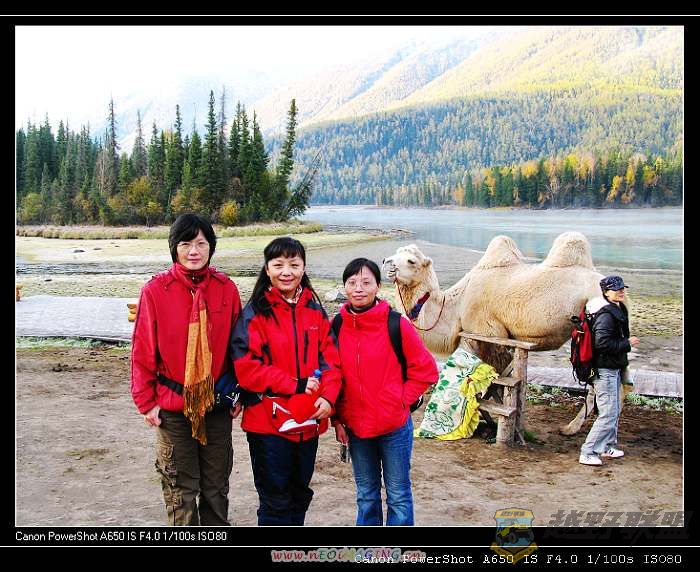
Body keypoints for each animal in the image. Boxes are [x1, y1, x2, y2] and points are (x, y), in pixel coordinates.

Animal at [382, 232, 633, 436]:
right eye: (395, 253)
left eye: (411, 261)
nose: (386, 262)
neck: (455, 305)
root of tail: (622, 297)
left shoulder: (486, 333)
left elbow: (493, 382)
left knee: (607, 385)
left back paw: (575, 429)